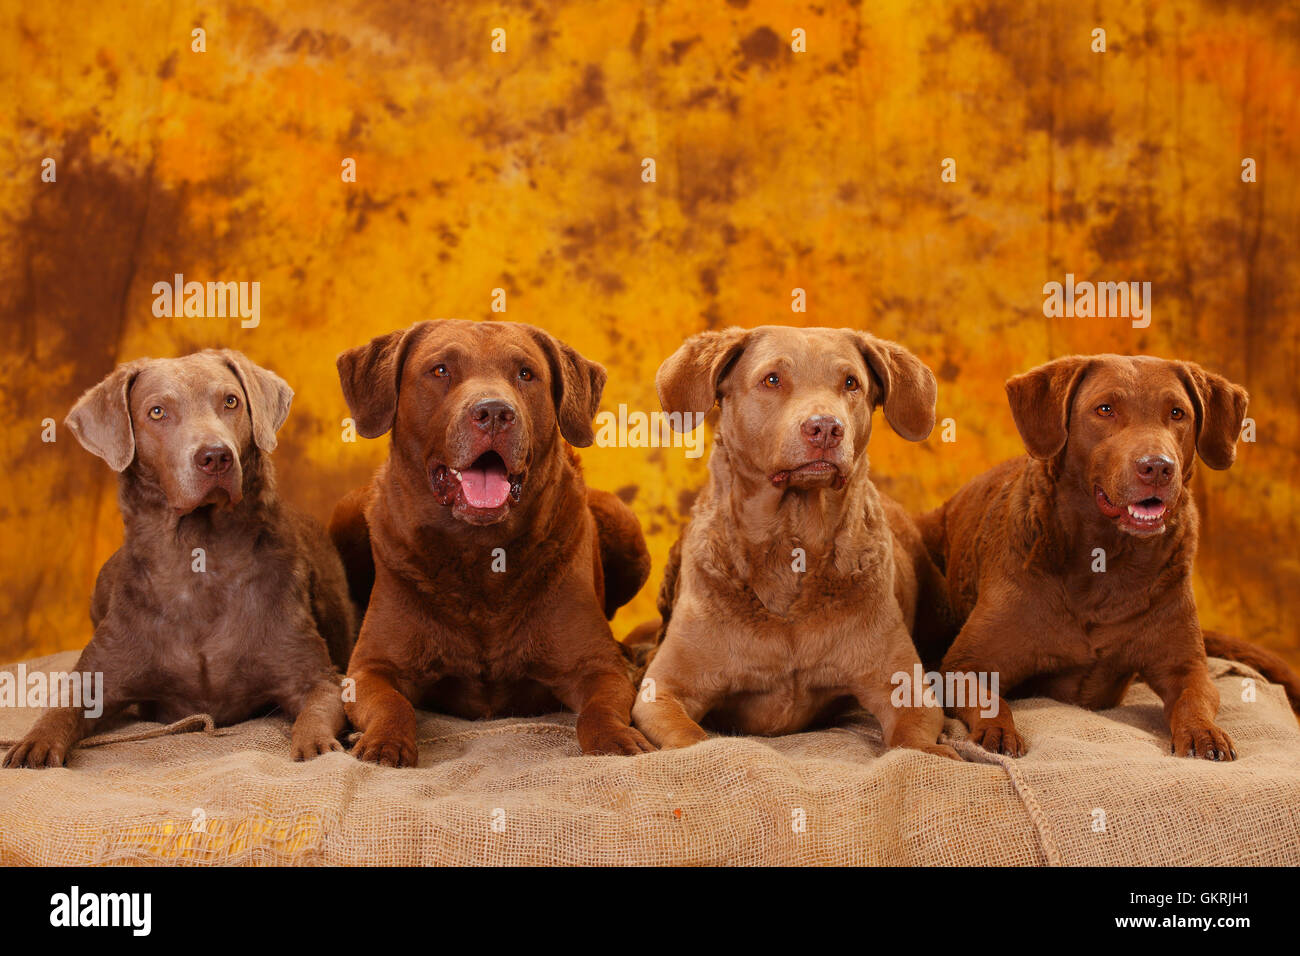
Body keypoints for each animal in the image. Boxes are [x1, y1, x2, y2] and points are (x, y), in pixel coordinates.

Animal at [2, 351, 353, 770]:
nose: (215, 456)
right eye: (157, 412)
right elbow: (60, 709)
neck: (198, 561)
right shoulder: (96, 674)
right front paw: (33, 744)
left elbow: (316, 708)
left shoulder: (315, 675)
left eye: (231, 401)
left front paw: (316, 746)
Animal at [330, 317, 655, 764]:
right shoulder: (370, 668)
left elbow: (598, 710)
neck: (480, 552)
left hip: (624, 524)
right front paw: (384, 744)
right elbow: (392, 704)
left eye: (526, 374)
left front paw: (616, 740)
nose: (495, 413)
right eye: (440, 370)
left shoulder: (596, 666)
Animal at [634, 329, 961, 764]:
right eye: (772, 379)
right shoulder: (664, 690)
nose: (825, 428)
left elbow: (912, 737)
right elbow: (692, 739)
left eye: (851, 383)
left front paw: (934, 754)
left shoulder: (906, 687)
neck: (792, 547)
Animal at [920, 353, 1274, 764]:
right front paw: (998, 733)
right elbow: (993, 701)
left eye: (1177, 413)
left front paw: (1205, 733)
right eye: (1105, 409)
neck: (1105, 559)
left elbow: (1193, 698)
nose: (1158, 466)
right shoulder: (963, 665)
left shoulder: (1186, 665)